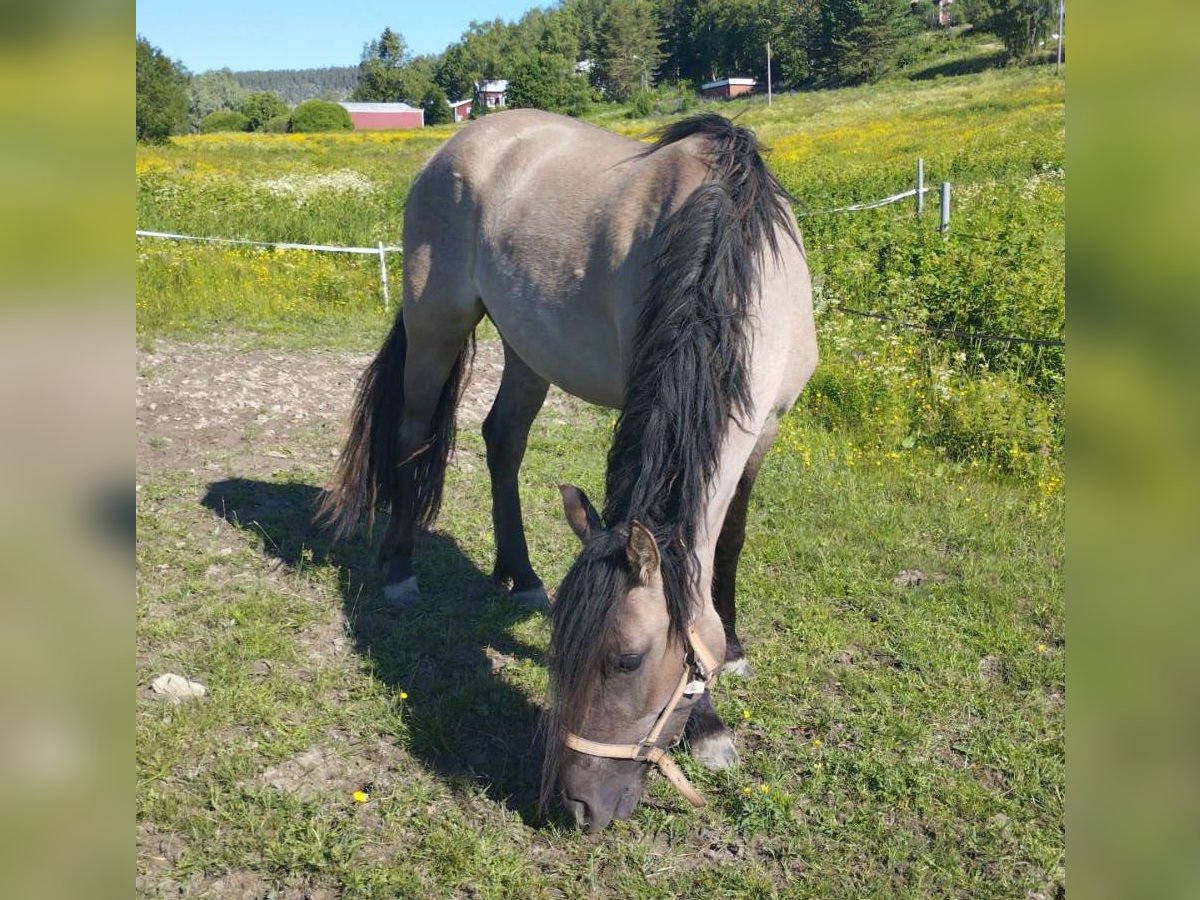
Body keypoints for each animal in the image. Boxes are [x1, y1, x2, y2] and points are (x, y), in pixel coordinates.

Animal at [319, 111, 820, 830]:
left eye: (627, 660)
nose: (576, 806)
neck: (733, 255)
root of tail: (460, 143)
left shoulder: (765, 428)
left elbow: (728, 542)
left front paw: (734, 653)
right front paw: (711, 723)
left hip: (526, 345)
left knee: (503, 440)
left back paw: (521, 575)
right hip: (436, 322)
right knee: (414, 437)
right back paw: (399, 571)